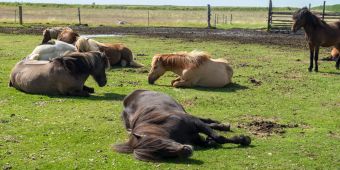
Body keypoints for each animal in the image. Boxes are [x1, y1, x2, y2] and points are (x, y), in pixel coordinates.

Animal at [115, 89, 251, 161]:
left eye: (159, 142)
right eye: (159, 156)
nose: (187, 150)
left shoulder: (194, 122)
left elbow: (219, 137)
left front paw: (243, 139)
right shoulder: (195, 136)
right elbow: (211, 140)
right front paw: (210, 140)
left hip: (185, 111)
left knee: (205, 120)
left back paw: (224, 126)